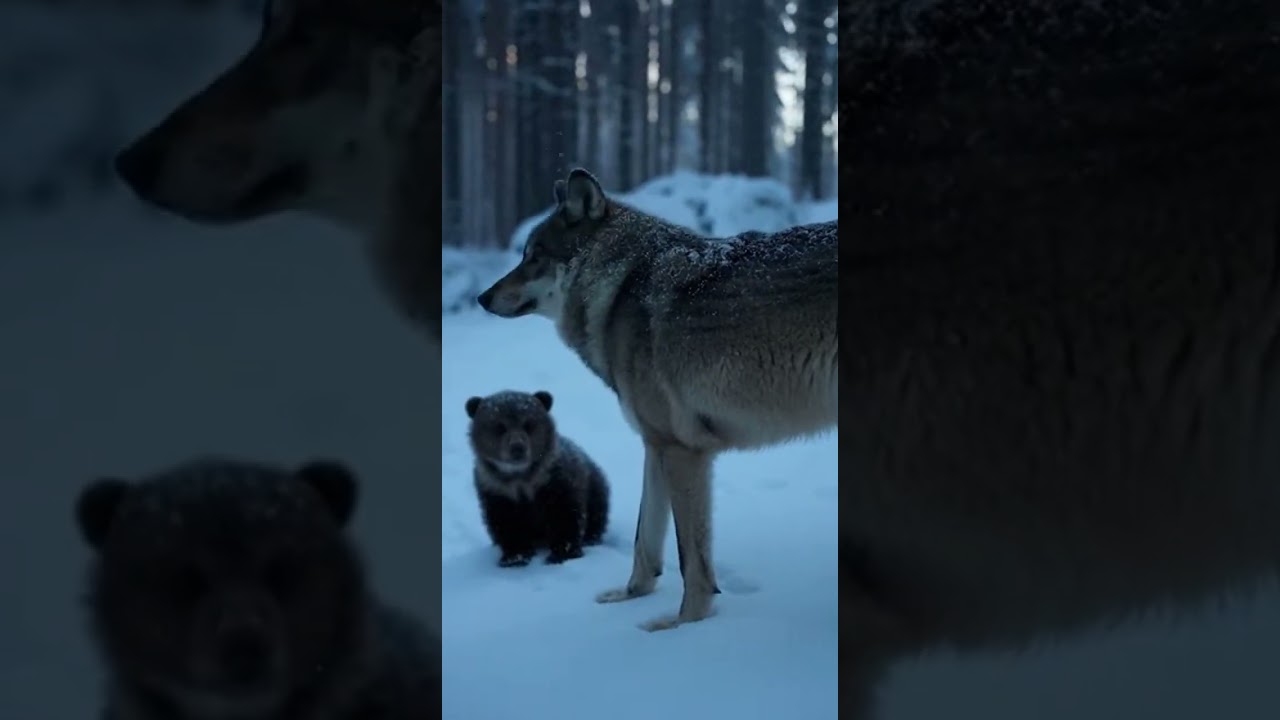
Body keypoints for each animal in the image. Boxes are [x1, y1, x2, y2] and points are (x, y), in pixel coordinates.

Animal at [477, 168, 838, 631]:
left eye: (534, 256)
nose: (482, 297)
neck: (621, 289)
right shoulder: (655, 445)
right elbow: (643, 541)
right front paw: (631, 596)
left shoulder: (684, 451)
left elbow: (692, 562)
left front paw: (680, 628)